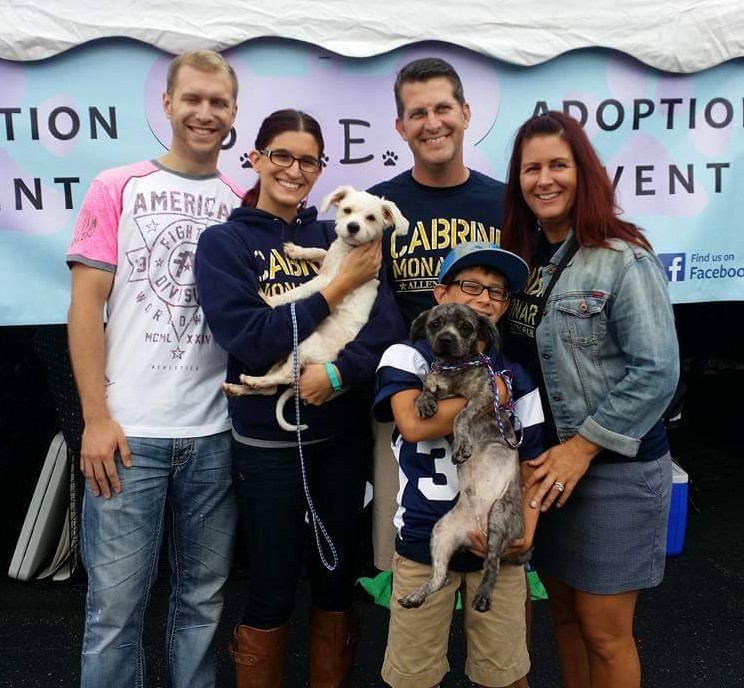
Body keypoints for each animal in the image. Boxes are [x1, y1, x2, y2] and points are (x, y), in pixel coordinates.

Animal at [222, 183, 406, 430]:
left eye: (371, 218)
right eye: (347, 210)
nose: (353, 227)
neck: (349, 250)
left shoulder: (327, 281)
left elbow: (299, 291)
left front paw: (272, 300)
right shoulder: (329, 261)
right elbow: (321, 251)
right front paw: (297, 251)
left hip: (305, 345)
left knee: (284, 378)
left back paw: (251, 380)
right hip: (286, 351)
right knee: (272, 387)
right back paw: (241, 386)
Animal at [398, 302, 528, 612]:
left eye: (466, 327)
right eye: (435, 324)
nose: (446, 339)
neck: (451, 367)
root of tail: (475, 529)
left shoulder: (482, 398)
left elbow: (460, 416)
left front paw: (462, 447)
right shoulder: (436, 383)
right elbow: (425, 388)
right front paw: (425, 402)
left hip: (499, 517)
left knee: (492, 565)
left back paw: (483, 596)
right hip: (441, 532)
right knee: (440, 577)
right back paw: (416, 595)